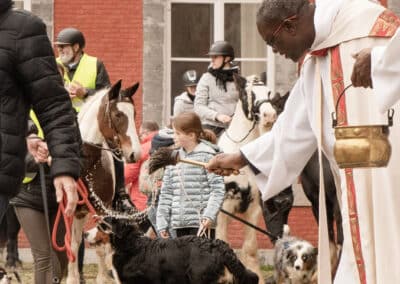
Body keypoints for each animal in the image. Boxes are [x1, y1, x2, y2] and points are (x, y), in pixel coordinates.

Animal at [67, 80, 144, 284]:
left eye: (134, 113)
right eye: (118, 115)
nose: (135, 154)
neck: (86, 164)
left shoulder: (103, 209)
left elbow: (101, 244)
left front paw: (102, 278)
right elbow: (69, 244)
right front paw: (70, 278)